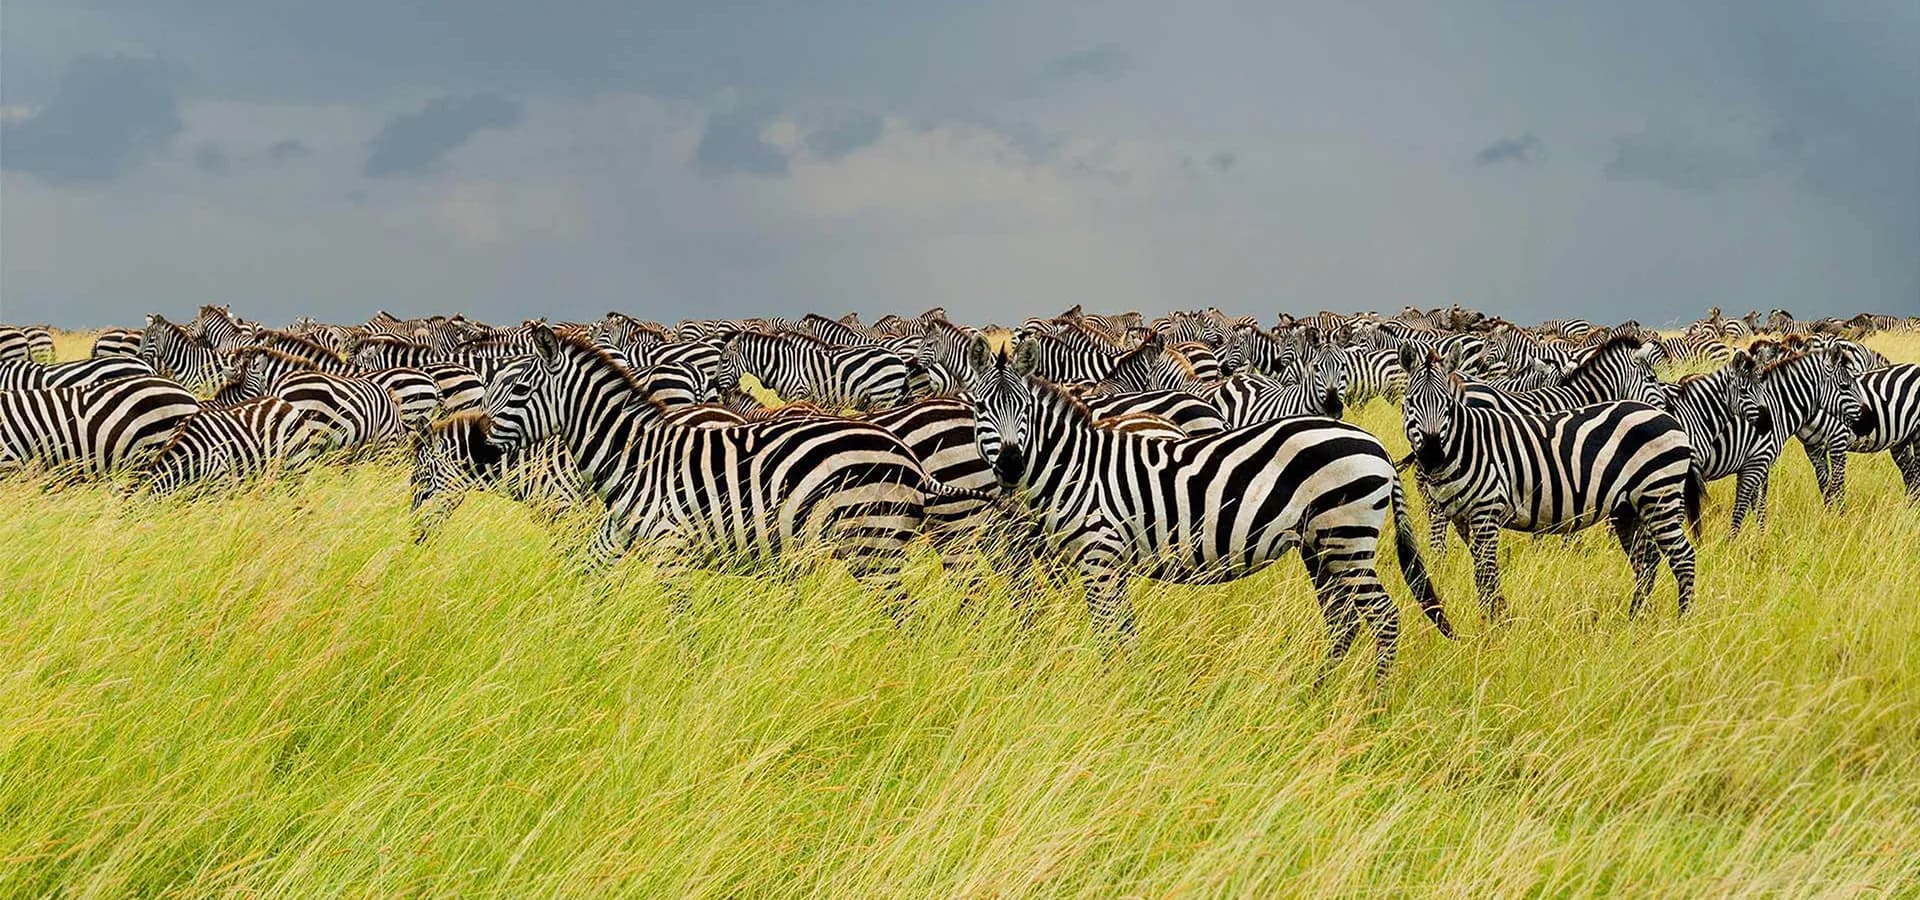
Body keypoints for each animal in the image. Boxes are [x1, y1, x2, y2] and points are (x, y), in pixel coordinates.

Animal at [479, 325, 934, 613]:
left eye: (519, 389)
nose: (479, 448)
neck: (637, 457)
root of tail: (907, 457)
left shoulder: (671, 548)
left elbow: (683, 621)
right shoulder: (616, 533)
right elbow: (583, 573)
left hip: (872, 546)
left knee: (907, 617)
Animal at [964, 335, 1454, 678]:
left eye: (1023, 408)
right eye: (983, 409)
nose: (1010, 465)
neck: (1077, 467)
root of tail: (1377, 446)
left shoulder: (1099, 559)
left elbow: (1108, 634)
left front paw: (1111, 690)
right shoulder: (1110, 564)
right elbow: (1124, 631)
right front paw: (1130, 684)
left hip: (1347, 540)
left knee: (1384, 618)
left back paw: (1374, 703)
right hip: (1320, 547)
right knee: (1342, 620)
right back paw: (1317, 692)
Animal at [1398, 345, 1702, 620]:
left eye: (1447, 405)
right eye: (1410, 403)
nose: (1431, 454)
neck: (1468, 442)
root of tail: (1668, 420)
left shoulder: (1487, 511)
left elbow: (1485, 571)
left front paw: (1494, 624)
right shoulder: (1464, 515)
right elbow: (1484, 569)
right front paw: (1497, 618)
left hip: (1658, 497)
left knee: (1682, 557)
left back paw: (1681, 622)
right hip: (1630, 507)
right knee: (1648, 560)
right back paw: (1636, 618)